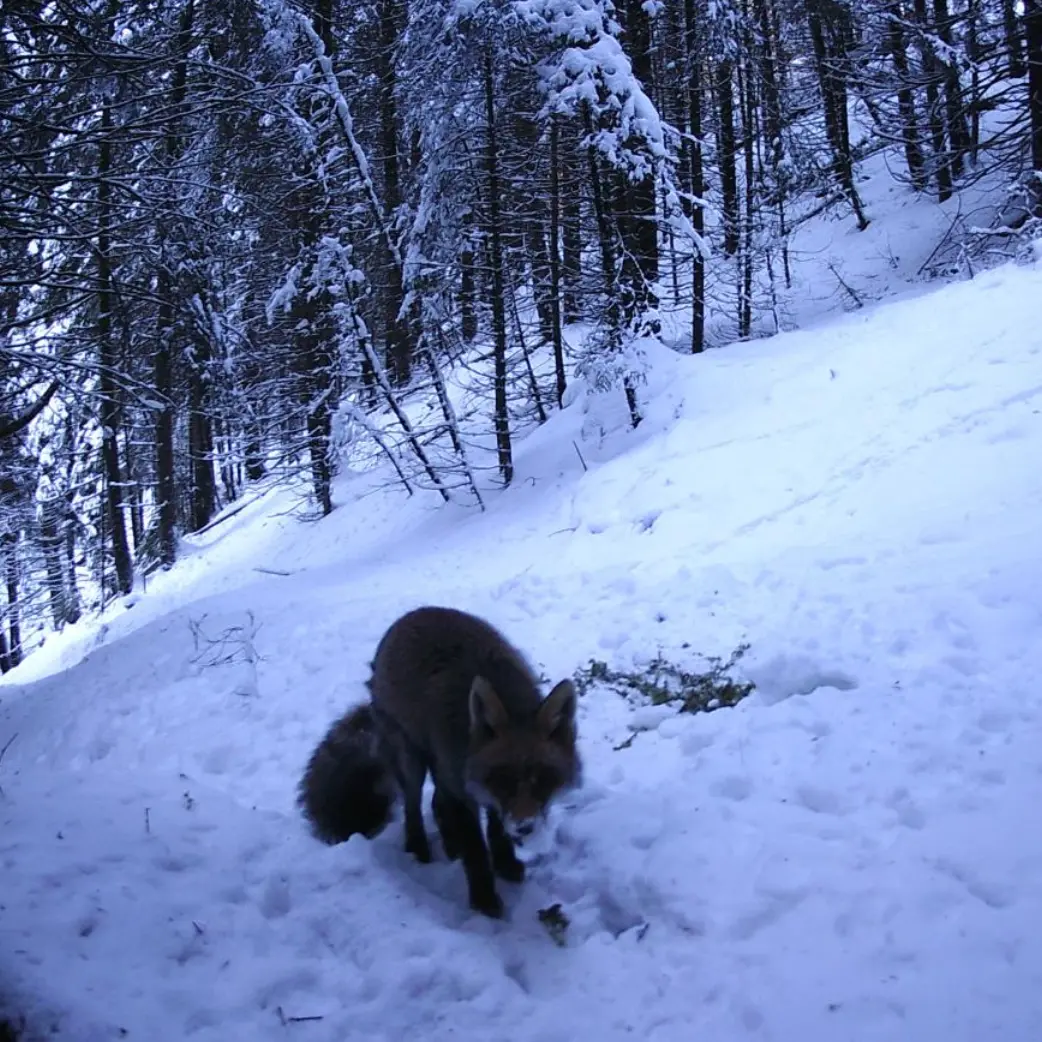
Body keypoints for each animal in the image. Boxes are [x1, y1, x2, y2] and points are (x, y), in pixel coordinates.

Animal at [298, 605, 581, 918]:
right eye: (503, 779)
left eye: (542, 778)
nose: (525, 828)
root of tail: (415, 612)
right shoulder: (463, 786)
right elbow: (475, 849)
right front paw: (484, 901)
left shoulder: (473, 785)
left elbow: (495, 830)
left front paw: (505, 864)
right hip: (412, 761)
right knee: (413, 807)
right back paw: (419, 849)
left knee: (437, 803)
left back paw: (450, 844)